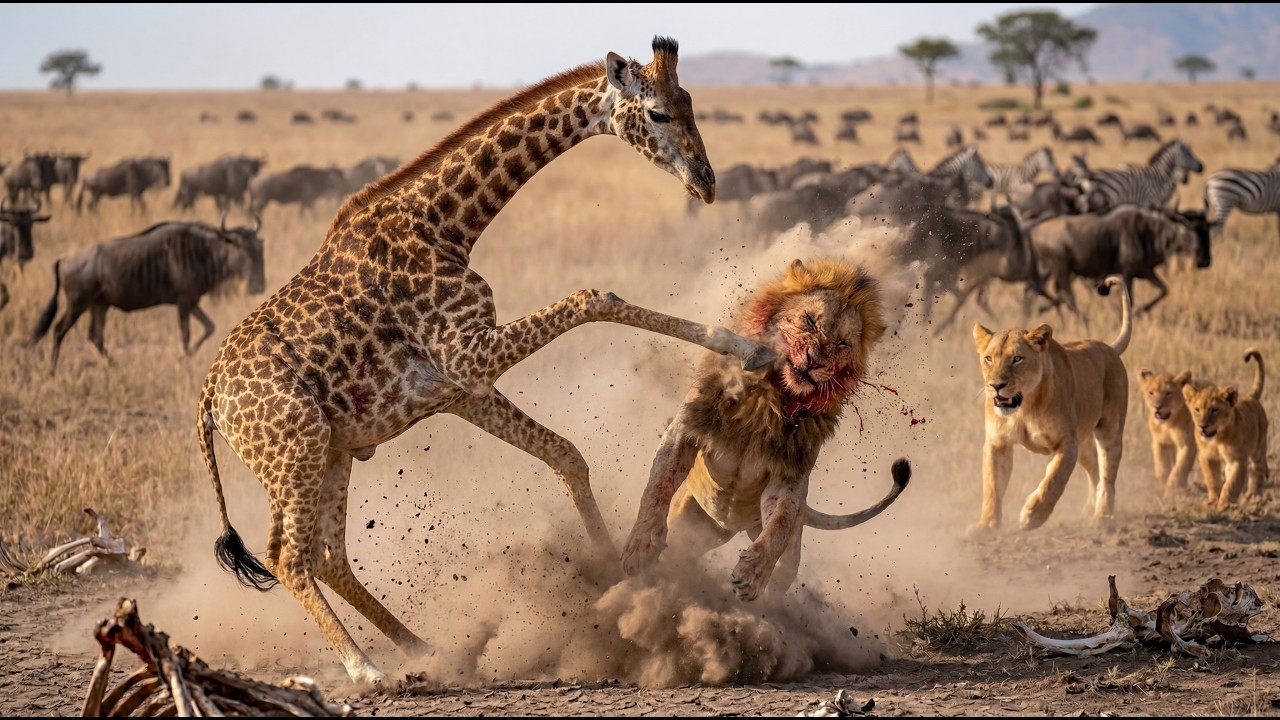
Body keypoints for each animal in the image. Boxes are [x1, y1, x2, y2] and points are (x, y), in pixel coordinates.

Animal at [619, 257, 910, 601]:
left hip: (765, 534)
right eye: (810, 321)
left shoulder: (787, 478)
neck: (769, 400)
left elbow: (779, 526)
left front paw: (754, 574)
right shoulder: (685, 429)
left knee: (785, 561)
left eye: (842, 344)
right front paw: (641, 546)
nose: (814, 361)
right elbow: (657, 487)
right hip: (695, 520)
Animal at [971, 274, 1133, 532]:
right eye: (988, 358)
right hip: (1083, 442)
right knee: (1095, 471)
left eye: (1017, 359)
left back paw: (1102, 517)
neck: (1024, 408)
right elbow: (992, 486)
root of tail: (1109, 347)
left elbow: (1055, 480)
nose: (996, 385)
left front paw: (1032, 516)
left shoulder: (1067, 444)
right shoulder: (997, 443)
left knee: (1108, 475)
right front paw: (986, 526)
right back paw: (1089, 509)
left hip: (1110, 429)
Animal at [1136, 368, 1203, 501]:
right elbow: (1162, 468)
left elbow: (1180, 468)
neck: (1168, 424)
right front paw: (1163, 488)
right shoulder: (1160, 443)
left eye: (1168, 393)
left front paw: (1171, 492)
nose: (1157, 407)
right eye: (1151, 392)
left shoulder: (1187, 444)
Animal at [1182, 349, 1269, 509]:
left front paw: (1225, 505)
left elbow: (1232, 484)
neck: (1216, 439)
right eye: (1197, 409)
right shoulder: (1207, 457)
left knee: (1258, 468)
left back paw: (1254, 495)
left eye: (1214, 410)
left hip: (1258, 448)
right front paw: (1213, 501)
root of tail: (1250, 397)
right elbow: (1212, 479)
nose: (1202, 425)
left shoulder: (1237, 459)